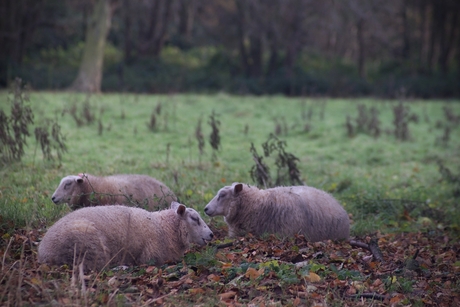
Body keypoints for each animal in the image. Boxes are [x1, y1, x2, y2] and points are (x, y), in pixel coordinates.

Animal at [37, 202, 214, 272]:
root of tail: (44, 253)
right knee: (97, 268)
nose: (212, 234)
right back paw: (122, 267)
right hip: (89, 246)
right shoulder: (151, 257)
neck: (164, 227)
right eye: (195, 219)